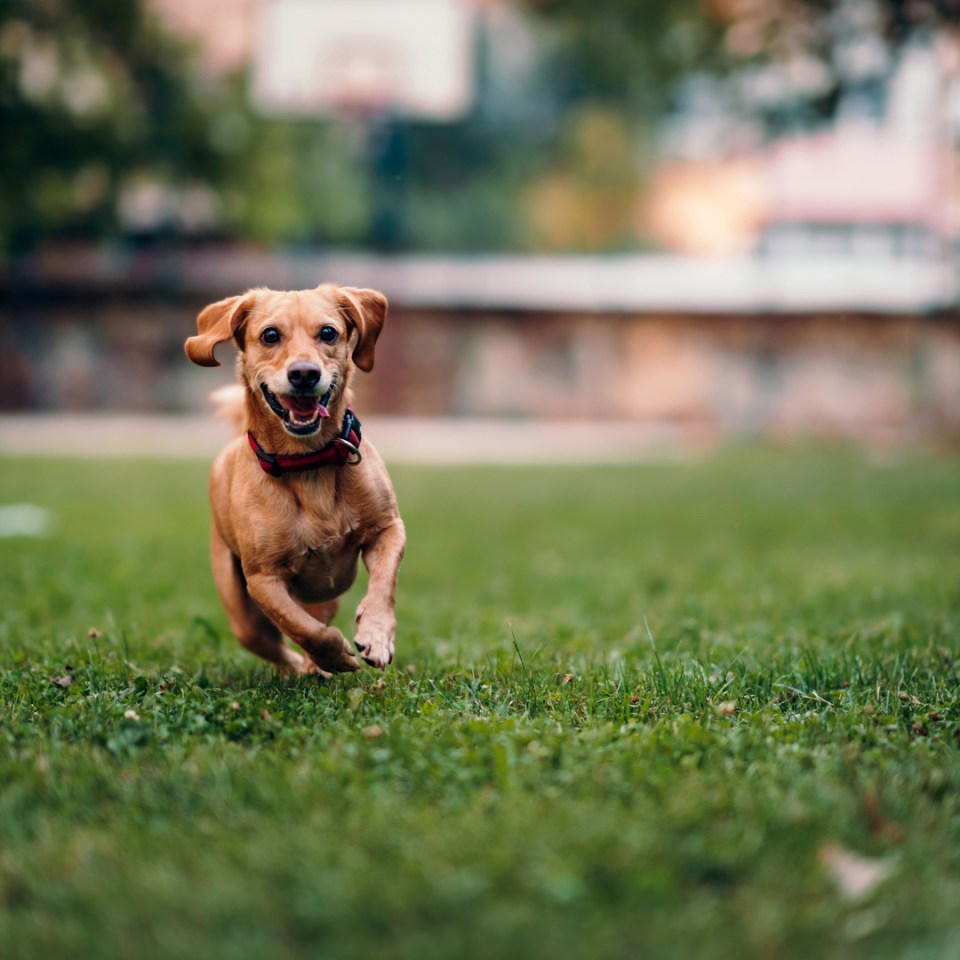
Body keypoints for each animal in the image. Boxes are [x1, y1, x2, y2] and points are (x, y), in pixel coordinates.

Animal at [185, 284, 404, 676]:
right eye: (270, 335)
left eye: (328, 332)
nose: (304, 373)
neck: (307, 462)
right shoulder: (263, 580)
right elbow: (305, 629)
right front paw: (336, 656)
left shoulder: (388, 529)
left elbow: (383, 585)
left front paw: (376, 635)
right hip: (240, 611)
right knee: (273, 643)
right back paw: (306, 670)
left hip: (325, 599)